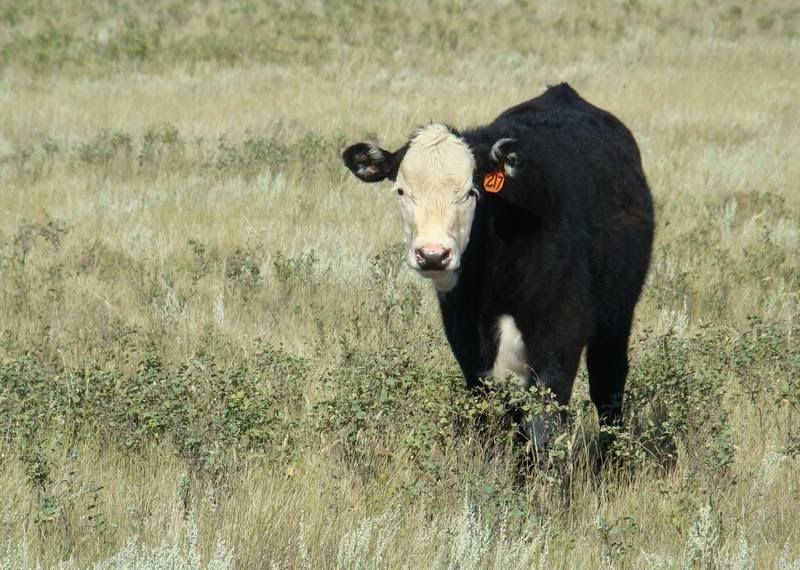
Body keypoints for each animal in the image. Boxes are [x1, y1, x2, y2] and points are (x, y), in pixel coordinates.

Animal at [342, 83, 654, 452]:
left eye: (470, 192)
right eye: (402, 191)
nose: (433, 255)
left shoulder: (560, 333)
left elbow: (545, 423)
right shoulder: (467, 341)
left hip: (616, 318)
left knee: (608, 386)